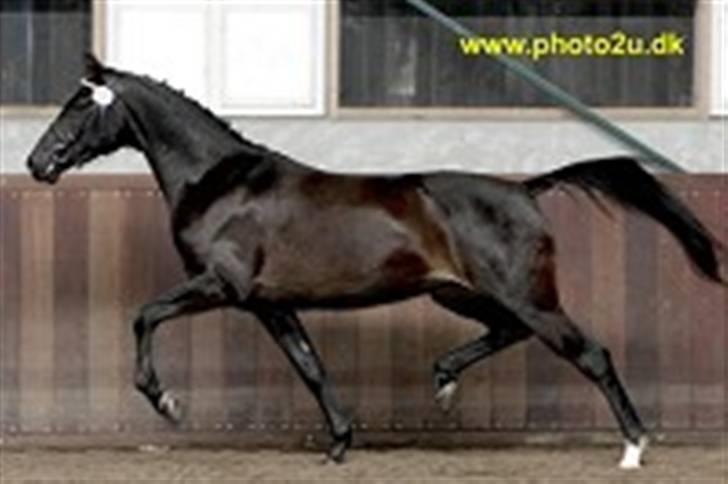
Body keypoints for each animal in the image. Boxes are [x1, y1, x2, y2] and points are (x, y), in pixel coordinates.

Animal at [27, 54, 725, 468]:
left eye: (79, 106)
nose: (37, 163)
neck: (222, 182)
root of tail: (527, 189)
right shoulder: (271, 304)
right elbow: (310, 367)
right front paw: (340, 442)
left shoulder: (221, 285)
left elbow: (145, 316)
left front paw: (167, 403)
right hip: (463, 292)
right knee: (509, 332)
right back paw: (443, 379)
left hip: (525, 294)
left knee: (590, 353)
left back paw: (633, 447)